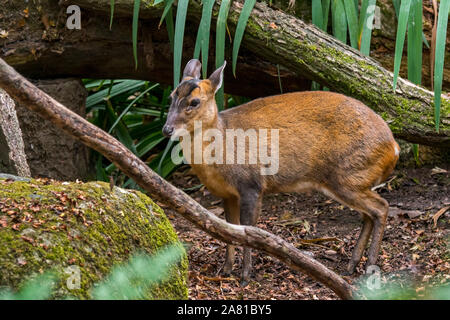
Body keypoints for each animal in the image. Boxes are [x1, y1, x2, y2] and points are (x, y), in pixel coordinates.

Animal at [163, 59, 400, 282]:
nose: (166, 129)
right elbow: (228, 229)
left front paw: (245, 275)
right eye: (172, 96)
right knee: (368, 215)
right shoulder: (227, 194)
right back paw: (351, 266)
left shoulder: (252, 185)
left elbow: (249, 229)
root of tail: (394, 147)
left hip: (348, 176)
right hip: (353, 179)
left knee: (381, 207)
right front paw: (227, 269)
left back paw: (369, 267)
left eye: (194, 101)